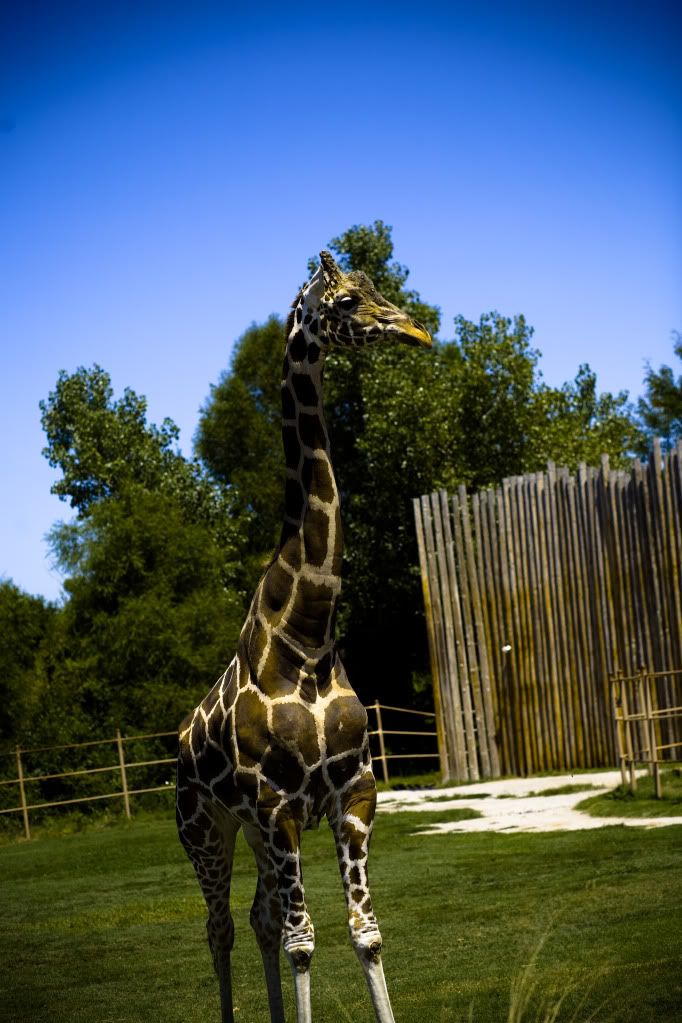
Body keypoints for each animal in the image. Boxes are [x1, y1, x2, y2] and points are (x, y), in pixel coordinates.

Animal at [176, 250, 431, 1023]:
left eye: (377, 288)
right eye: (346, 301)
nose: (415, 329)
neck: (308, 635)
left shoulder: (354, 794)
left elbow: (363, 931)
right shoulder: (277, 804)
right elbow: (303, 941)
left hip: (256, 835)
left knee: (258, 916)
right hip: (206, 827)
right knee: (223, 926)